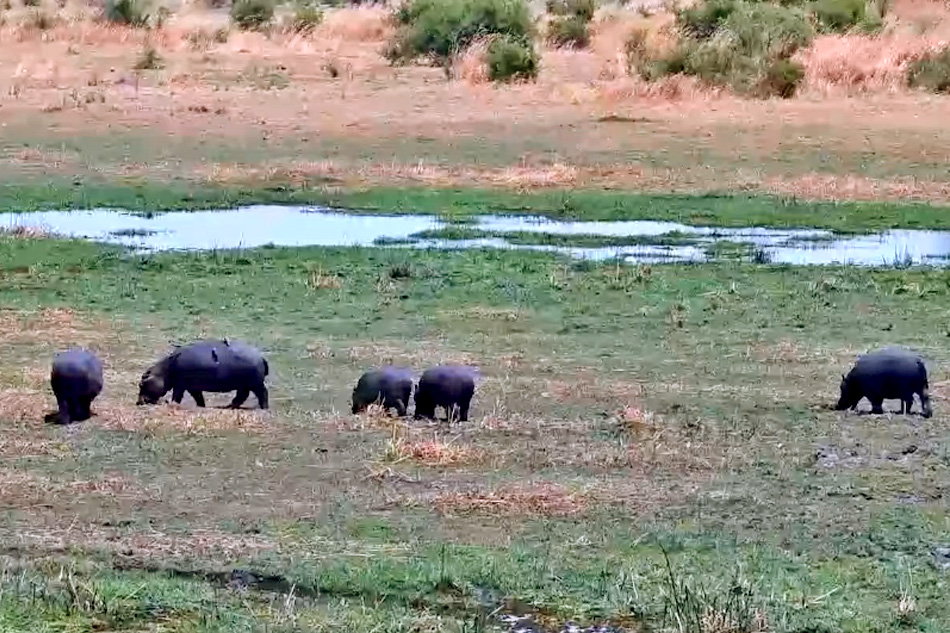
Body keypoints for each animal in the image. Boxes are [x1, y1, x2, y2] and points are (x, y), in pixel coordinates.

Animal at [137, 338, 269, 409]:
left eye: (141, 384)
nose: (138, 402)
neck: (164, 370)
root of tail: (260, 356)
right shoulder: (192, 387)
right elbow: (198, 397)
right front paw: (201, 406)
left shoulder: (180, 385)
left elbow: (177, 396)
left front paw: (173, 404)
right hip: (245, 384)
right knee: (242, 395)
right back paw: (229, 406)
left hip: (255, 383)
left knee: (262, 393)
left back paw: (264, 408)